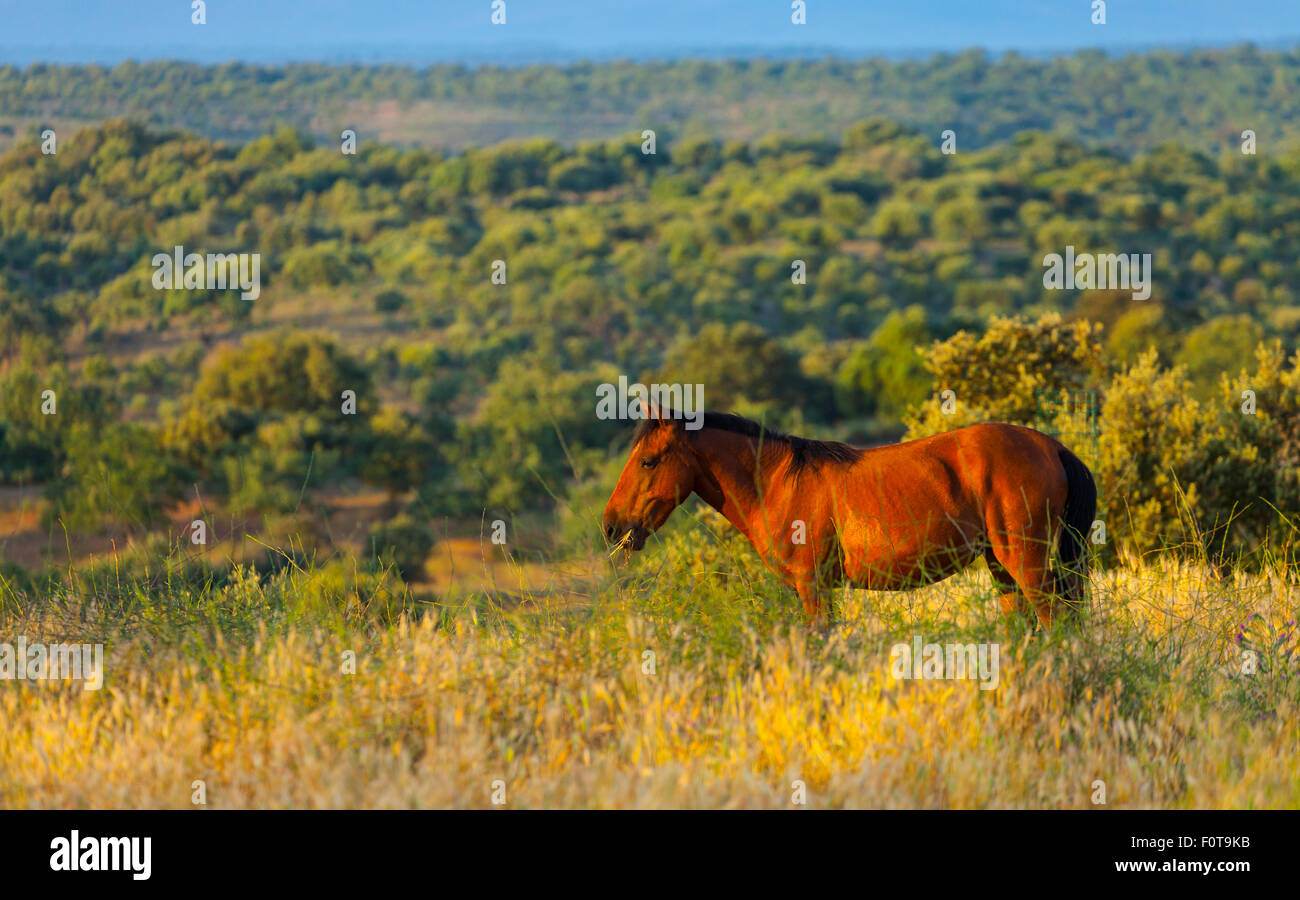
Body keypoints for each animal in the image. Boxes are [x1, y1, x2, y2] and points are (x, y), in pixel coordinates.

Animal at [603, 408, 1092, 629]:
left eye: (647, 461)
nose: (611, 526)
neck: (777, 481)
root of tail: (1051, 446)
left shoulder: (813, 586)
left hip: (1025, 562)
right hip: (1000, 567)